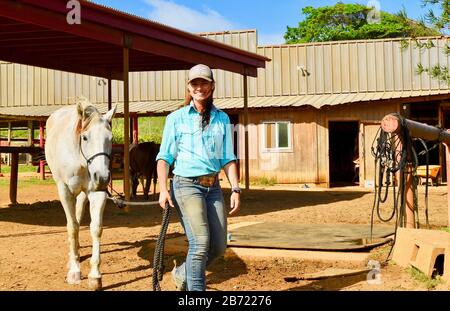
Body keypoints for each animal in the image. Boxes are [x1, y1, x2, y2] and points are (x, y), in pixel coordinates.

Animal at [45, 98, 116, 292]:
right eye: (85, 137)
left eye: (111, 139)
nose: (103, 177)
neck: (80, 160)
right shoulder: (64, 191)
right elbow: (72, 227)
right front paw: (75, 271)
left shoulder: (97, 192)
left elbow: (96, 228)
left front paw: (95, 276)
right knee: (74, 223)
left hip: (84, 194)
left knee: (78, 214)